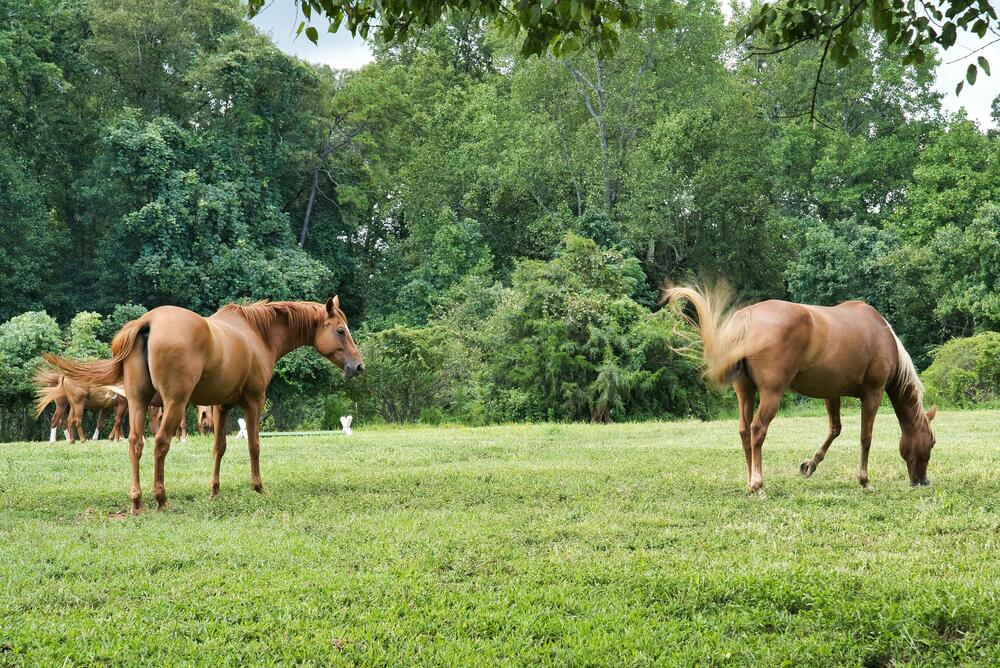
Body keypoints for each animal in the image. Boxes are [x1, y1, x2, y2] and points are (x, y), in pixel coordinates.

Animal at [45, 296, 364, 512]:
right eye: (340, 331)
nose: (358, 366)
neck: (257, 334)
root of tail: (148, 322)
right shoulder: (253, 402)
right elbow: (254, 446)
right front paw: (258, 487)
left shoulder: (221, 406)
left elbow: (218, 448)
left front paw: (214, 491)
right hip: (173, 404)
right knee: (160, 442)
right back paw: (161, 498)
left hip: (137, 402)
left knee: (136, 443)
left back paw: (137, 501)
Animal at [664, 284, 936, 494]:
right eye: (932, 442)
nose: (923, 482)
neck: (881, 334)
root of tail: (747, 317)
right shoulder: (873, 393)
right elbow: (865, 437)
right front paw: (864, 481)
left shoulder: (832, 393)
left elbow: (835, 429)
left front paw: (810, 465)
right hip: (771, 393)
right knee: (757, 430)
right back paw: (758, 485)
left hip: (744, 390)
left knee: (744, 431)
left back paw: (750, 481)